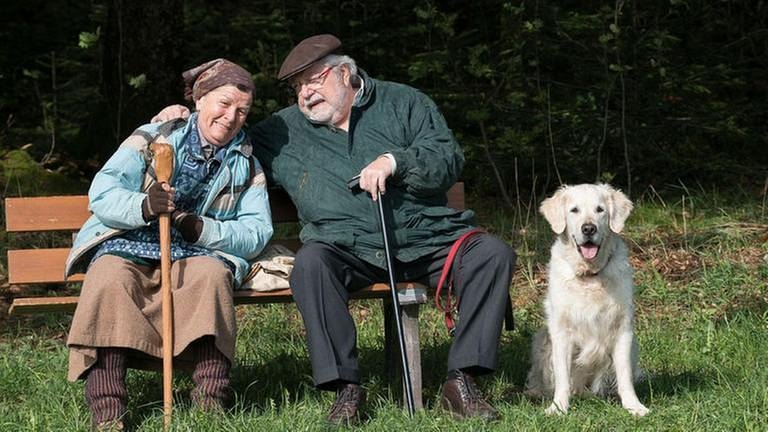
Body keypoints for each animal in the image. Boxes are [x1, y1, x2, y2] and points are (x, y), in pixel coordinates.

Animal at [520, 184, 648, 416]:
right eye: (574, 210)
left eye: (600, 210)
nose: (588, 229)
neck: (590, 276)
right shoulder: (561, 332)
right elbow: (562, 376)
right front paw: (558, 408)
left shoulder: (623, 329)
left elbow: (624, 375)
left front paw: (634, 406)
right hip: (541, 339)